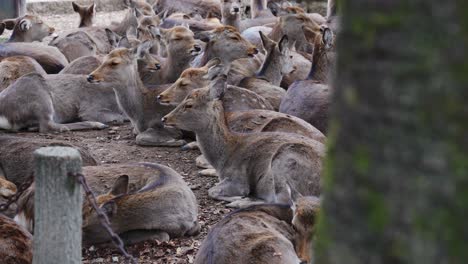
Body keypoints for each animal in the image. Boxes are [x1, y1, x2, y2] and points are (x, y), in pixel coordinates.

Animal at [163, 73, 324, 207]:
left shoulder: (238, 179)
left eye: (189, 105)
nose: (165, 118)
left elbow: (213, 191)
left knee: (285, 201)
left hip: (285, 159)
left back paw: (241, 202)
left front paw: (238, 197)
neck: (224, 158)